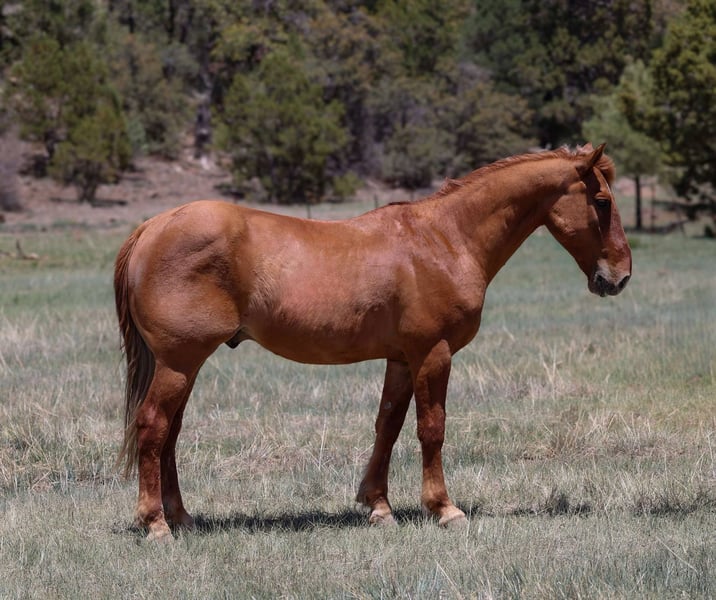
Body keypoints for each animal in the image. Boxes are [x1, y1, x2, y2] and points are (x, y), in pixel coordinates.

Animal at [114, 143, 631, 541]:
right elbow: (431, 429)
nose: (620, 277)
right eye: (602, 201)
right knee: (153, 426)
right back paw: (156, 523)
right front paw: (444, 509)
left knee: (170, 433)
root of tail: (152, 227)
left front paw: (378, 507)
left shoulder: (401, 359)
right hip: (180, 361)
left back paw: (182, 517)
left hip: (183, 365)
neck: (445, 239)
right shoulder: (433, 354)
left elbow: (388, 425)